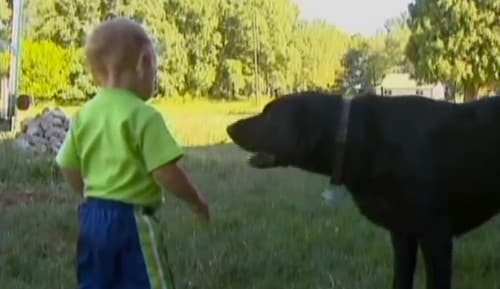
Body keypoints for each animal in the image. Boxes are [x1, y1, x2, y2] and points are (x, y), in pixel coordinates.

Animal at [226, 91, 500, 288]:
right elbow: (400, 280)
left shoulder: (435, 235)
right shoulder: (402, 233)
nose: (229, 128)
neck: (355, 134)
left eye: (269, 115)